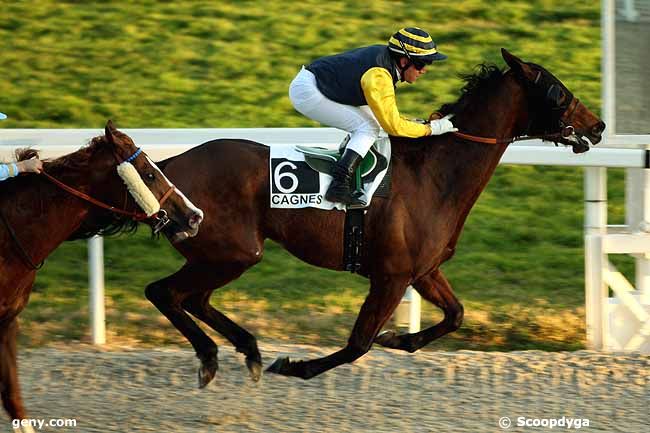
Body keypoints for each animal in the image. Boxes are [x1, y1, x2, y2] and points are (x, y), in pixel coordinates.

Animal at [151, 49, 604, 384]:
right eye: (558, 92)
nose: (598, 127)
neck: (433, 174)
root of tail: (168, 167)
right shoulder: (390, 276)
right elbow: (358, 344)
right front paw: (298, 366)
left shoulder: (423, 271)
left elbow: (455, 315)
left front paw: (397, 339)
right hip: (231, 253)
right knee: (165, 293)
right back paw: (214, 356)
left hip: (221, 256)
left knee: (193, 298)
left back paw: (248, 349)